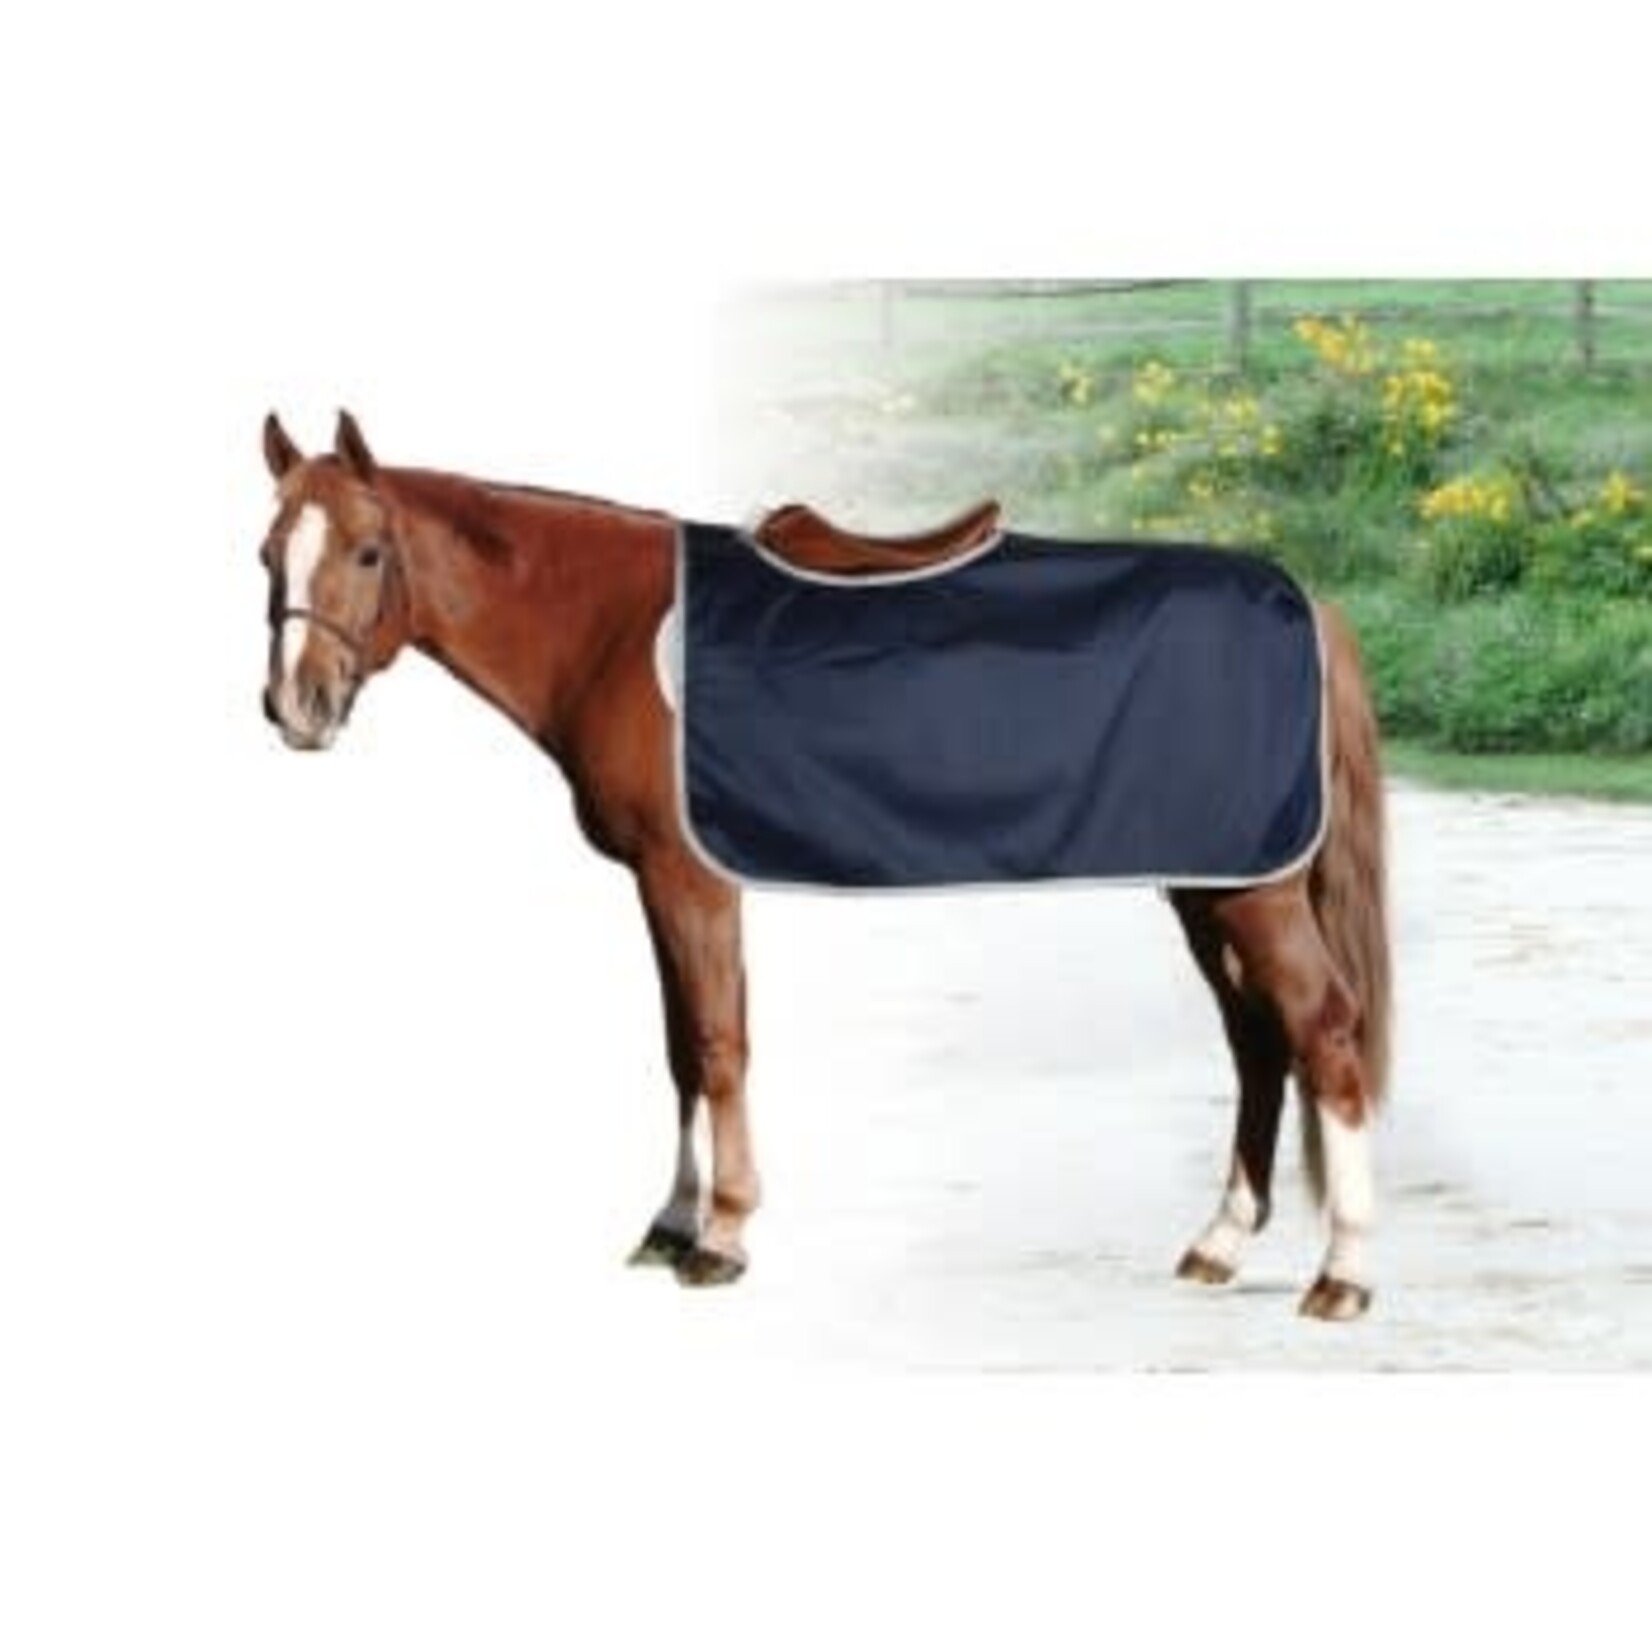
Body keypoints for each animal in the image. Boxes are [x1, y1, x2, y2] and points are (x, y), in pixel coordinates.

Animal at [257, 410, 1391, 1322]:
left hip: (1252, 891)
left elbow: (717, 1045)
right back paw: (1219, 1243)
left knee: (1323, 1033)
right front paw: (671, 1223)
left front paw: (721, 1237)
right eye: (268, 553)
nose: (295, 709)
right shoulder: (657, 886)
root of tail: (1304, 601)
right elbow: (678, 1048)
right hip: (1208, 882)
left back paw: (1342, 1273)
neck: (610, 628)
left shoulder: (690, 880)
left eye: (368, 551)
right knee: (1258, 1043)